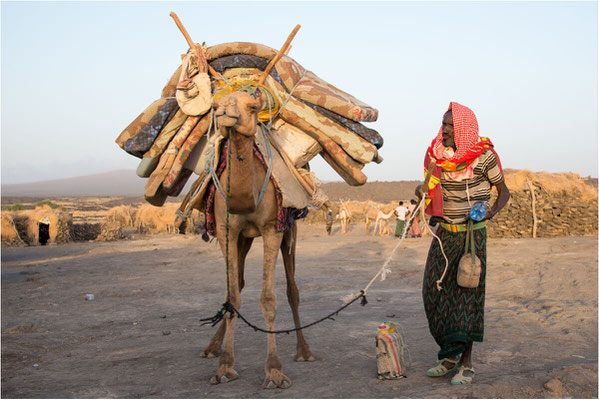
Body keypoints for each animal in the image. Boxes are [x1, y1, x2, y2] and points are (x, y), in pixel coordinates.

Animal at [202, 86, 314, 390]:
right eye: (216, 104)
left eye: (252, 107)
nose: (224, 110)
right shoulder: (227, 232)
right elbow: (232, 296)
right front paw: (224, 366)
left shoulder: (271, 229)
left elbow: (268, 299)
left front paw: (274, 371)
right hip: (243, 240)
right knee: (237, 284)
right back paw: (211, 347)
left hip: (290, 232)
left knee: (292, 289)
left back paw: (304, 351)